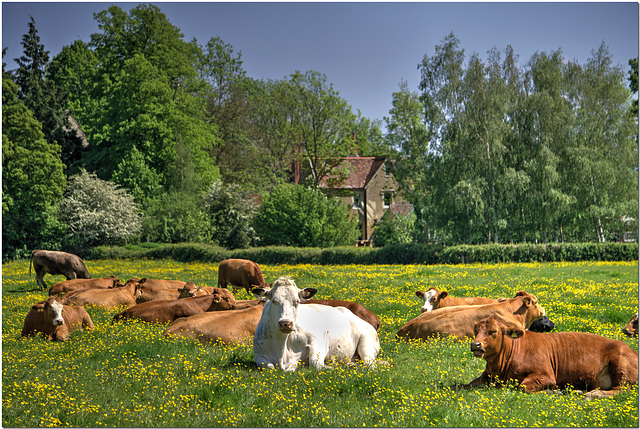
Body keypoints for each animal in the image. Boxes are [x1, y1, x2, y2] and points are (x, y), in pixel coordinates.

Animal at [251, 276, 380, 370]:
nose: (286, 323)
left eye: (297, 301)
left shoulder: (318, 341)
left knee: (370, 365)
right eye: (274, 301)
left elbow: (315, 364)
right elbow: (269, 366)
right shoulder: (259, 355)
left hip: (367, 344)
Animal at [462, 312, 636, 396]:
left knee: (622, 390)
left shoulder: (545, 375)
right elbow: (466, 385)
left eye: (494, 331)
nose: (475, 344)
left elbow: (523, 387)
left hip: (620, 366)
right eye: (476, 330)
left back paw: (594, 393)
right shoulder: (486, 376)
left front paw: (555, 391)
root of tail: (630, 349)